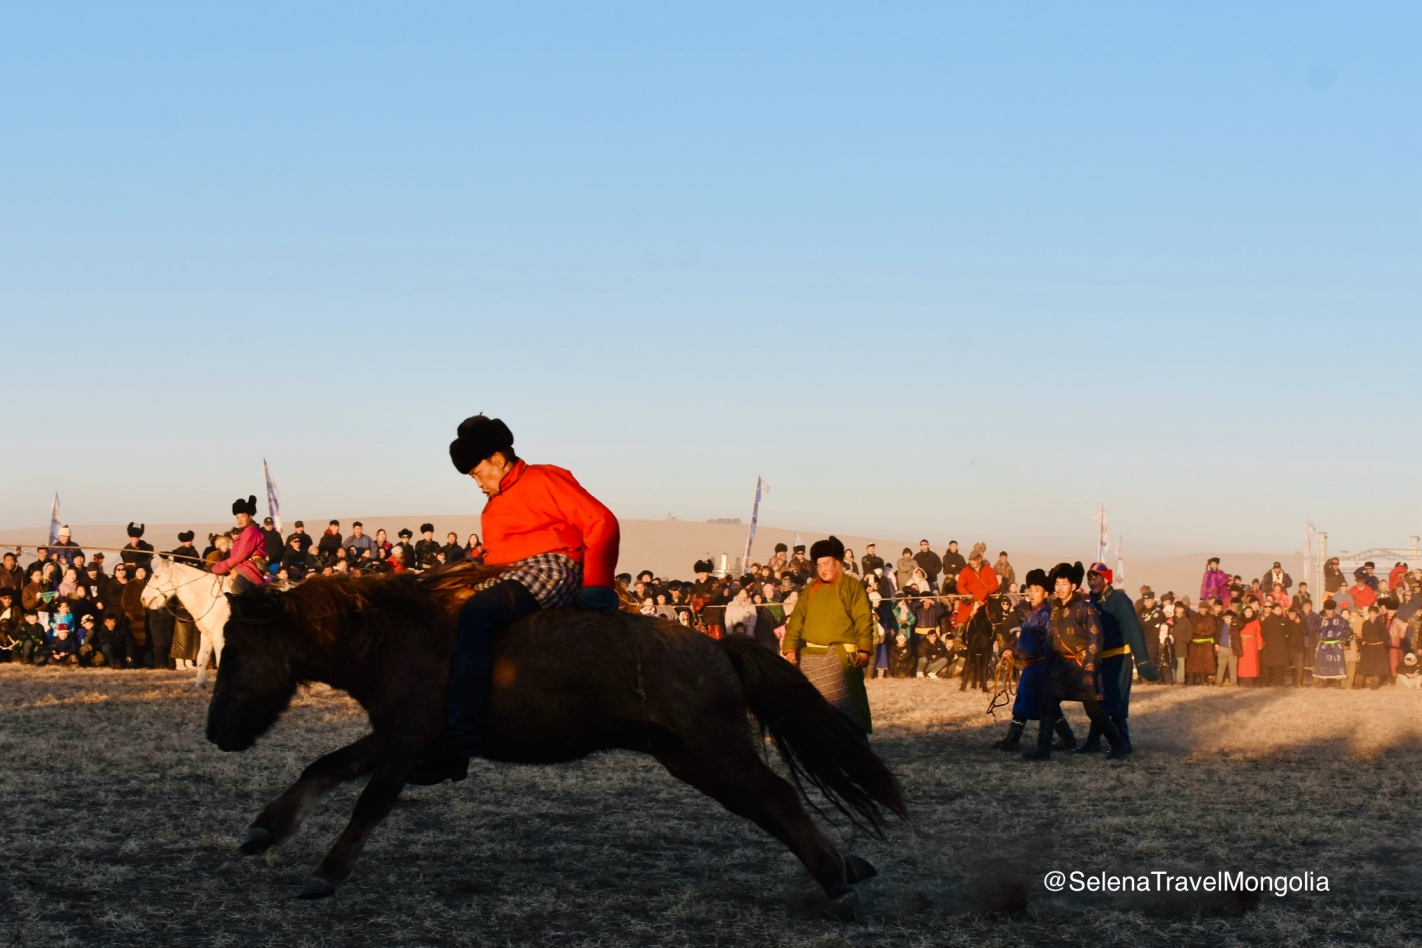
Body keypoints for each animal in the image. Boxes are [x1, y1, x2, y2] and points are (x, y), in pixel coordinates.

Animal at [142, 557, 233, 690]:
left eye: (156, 576)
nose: (143, 599)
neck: (210, 597)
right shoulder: (207, 635)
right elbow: (201, 657)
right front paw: (199, 684)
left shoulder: (220, 636)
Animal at [206, 562, 904, 920]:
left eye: (233, 653)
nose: (216, 732)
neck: (401, 635)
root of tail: (718, 646)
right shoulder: (396, 735)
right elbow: (324, 768)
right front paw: (265, 829)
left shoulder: (406, 740)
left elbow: (368, 803)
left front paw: (325, 873)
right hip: (692, 759)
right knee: (766, 806)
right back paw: (846, 866)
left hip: (713, 751)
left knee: (778, 799)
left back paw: (838, 879)